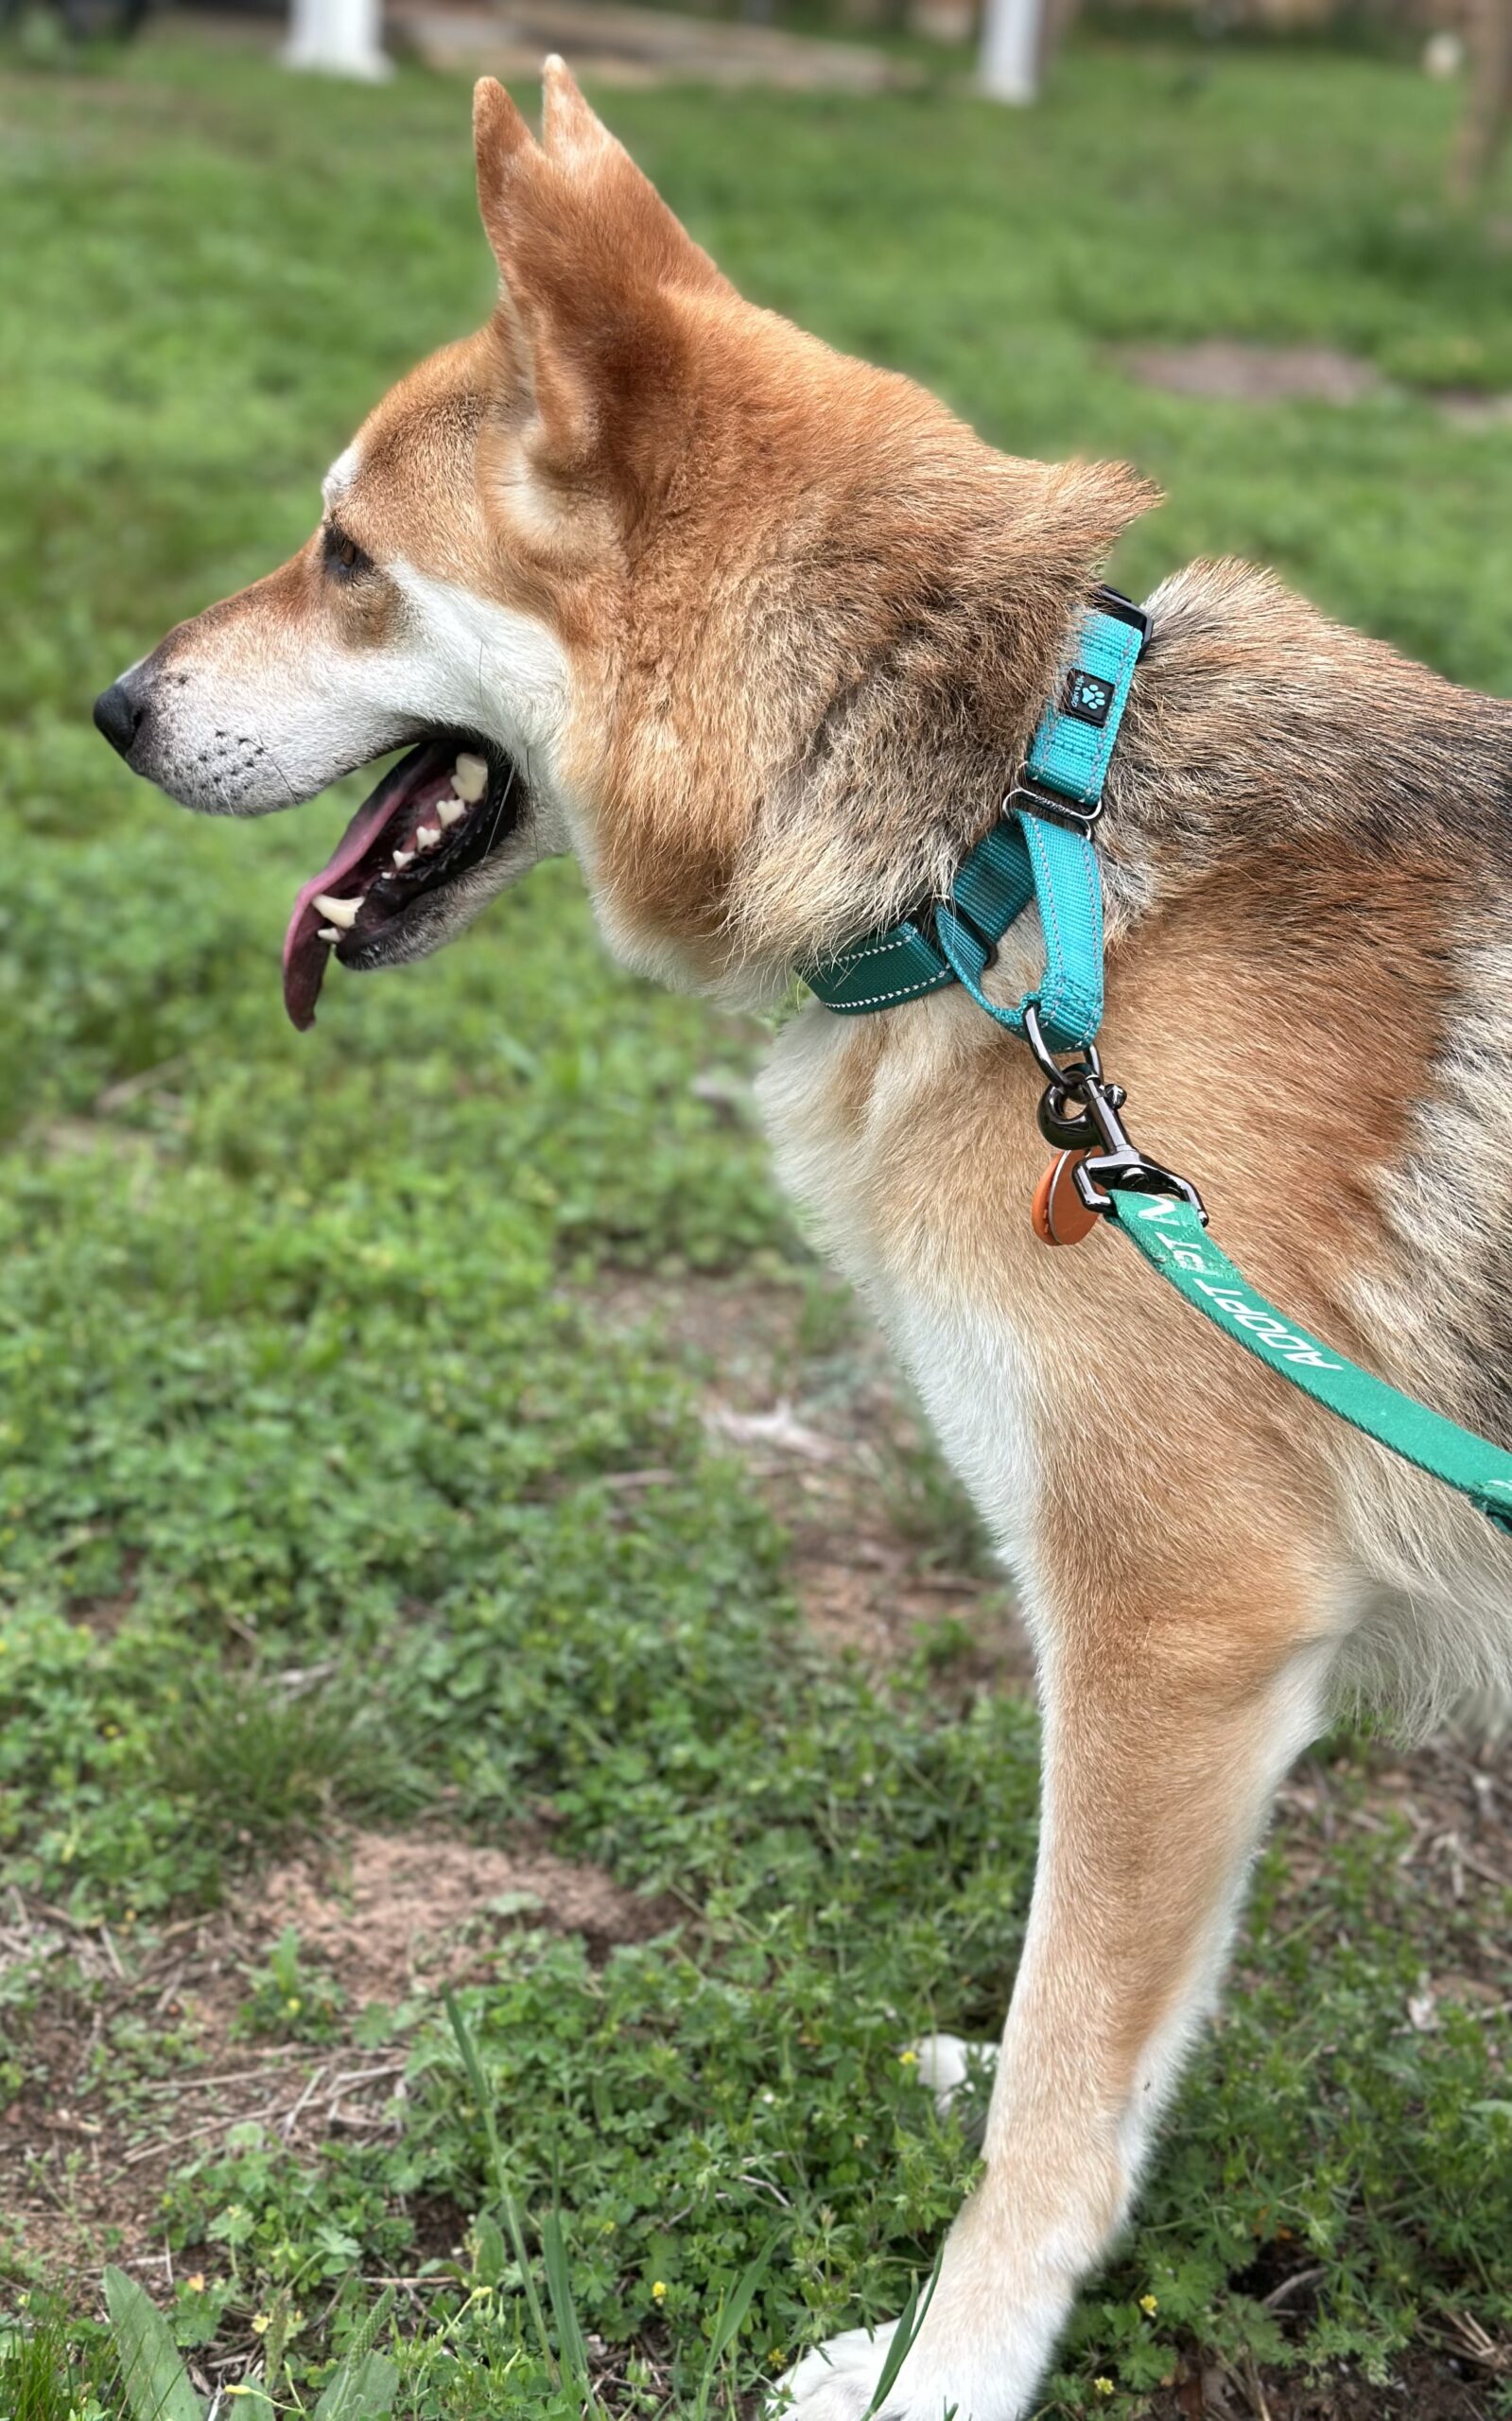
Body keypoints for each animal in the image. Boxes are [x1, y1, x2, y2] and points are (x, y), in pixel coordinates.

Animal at [93, 63, 1512, 2420]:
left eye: (350, 559)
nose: (107, 704)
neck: (997, 840)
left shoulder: (1174, 1633)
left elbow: (1064, 2082)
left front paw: (946, 2365)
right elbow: (1077, 2034)